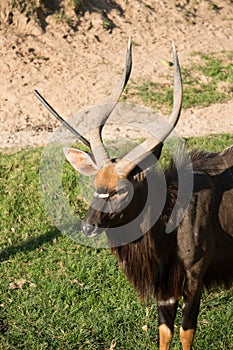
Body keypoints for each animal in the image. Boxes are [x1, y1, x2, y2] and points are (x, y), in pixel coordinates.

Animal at [34, 39, 233, 350]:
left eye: (122, 190)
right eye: (96, 184)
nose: (88, 228)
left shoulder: (195, 276)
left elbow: (186, 331)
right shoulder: (165, 288)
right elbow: (165, 331)